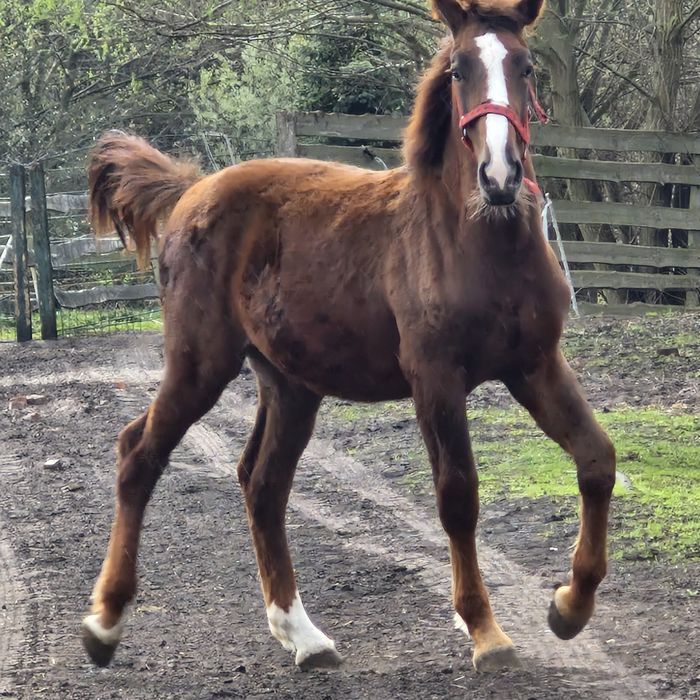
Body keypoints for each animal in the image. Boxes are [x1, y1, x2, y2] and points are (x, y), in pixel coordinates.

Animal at [81, 0, 616, 674]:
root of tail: (189, 192)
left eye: (524, 66)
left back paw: (303, 636)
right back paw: (103, 625)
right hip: (199, 364)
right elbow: (458, 495)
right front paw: (485, 630)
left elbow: (597, 460)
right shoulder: (435, 379)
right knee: (138, 455)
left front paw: (569, 606)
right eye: (459, 69)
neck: (478, 242)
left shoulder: (536, 364)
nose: (499, 175)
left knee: (262, 483)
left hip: (290, 384)